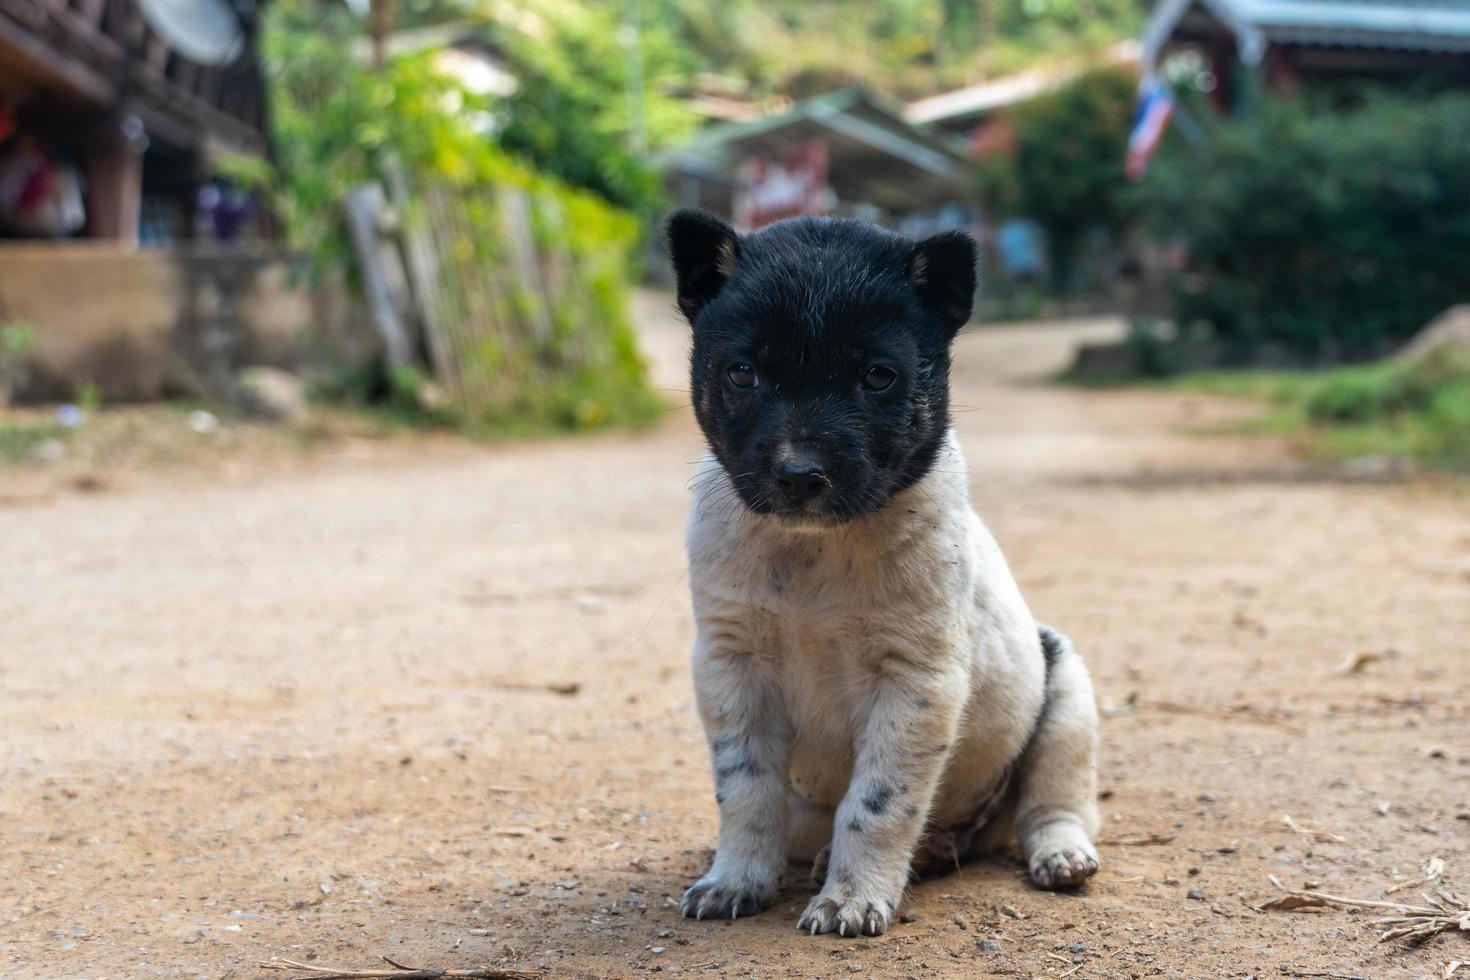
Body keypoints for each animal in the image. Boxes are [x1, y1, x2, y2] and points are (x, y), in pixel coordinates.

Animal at [670, 211, 1105, 940]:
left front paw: (851, 898)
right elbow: (745, 789)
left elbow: (877, 802)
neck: (813, 552)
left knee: (1053, 800)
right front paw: (735, 879)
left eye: (878, 377)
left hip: (1067, 693)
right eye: (742, 374)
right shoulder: (732, 668)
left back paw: (1058, 853)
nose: (799, 476)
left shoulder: (913, 683)